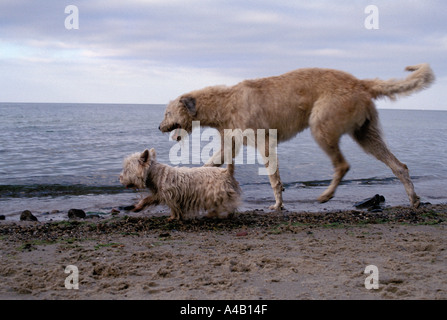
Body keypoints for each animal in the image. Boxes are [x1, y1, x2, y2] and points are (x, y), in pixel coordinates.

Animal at [159, 64, 436, 211]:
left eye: (167, 112)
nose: (160, 127)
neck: (225, 102)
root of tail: (360, 83)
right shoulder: (231, 142)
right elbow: (212, 162)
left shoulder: (264, 142)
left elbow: (273, 177)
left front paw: (278, 203)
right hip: (366, 134)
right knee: (399, 165)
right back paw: (413, 198)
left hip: (321, 126)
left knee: (342, 164)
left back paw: (326, 195)